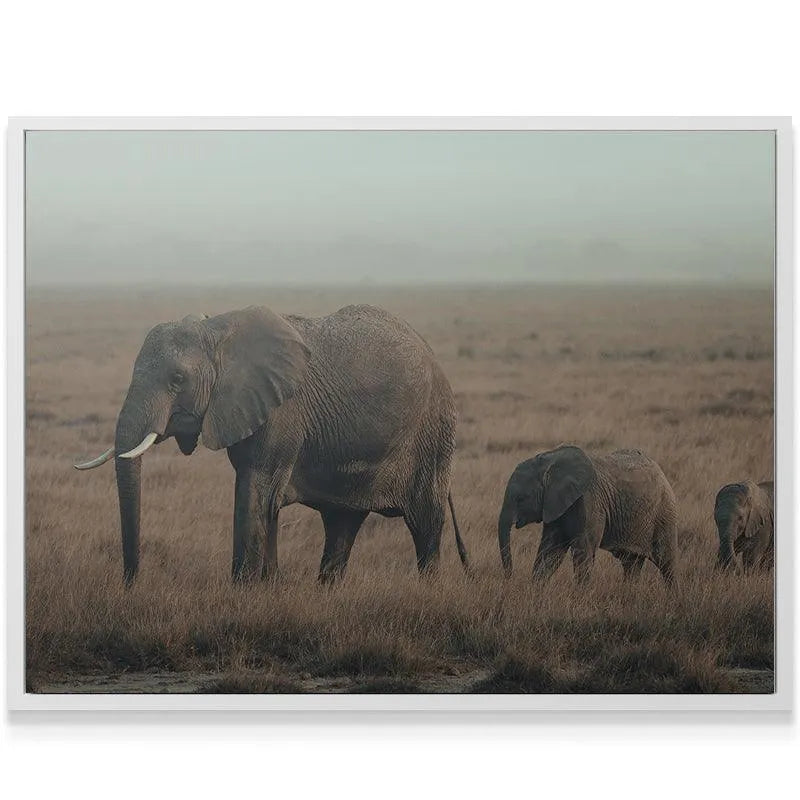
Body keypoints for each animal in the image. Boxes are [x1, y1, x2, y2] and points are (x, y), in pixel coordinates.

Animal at [74, 304, 470, 584]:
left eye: (177, 379)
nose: (131, 583)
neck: (218, 331)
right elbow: (266, 503)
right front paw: (270, 587)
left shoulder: (281, 411)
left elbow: (255, 491)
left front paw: (245, 591)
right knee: (341, 524)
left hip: (433, 433)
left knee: (425, 522)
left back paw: (428, 590)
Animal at [498, 444, 678, 584]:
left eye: (521, 498)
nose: (509, 577)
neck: (551, 460)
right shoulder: (555, 505)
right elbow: (550, 551)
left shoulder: (590, 501)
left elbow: (583, 552)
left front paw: (579, 598)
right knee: (631, 565)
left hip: (664, 513)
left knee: (666, 563)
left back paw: (674, 598)